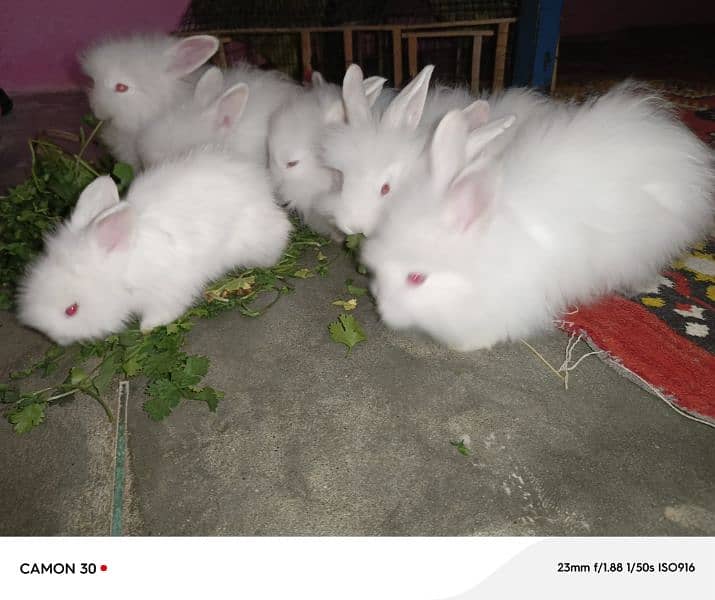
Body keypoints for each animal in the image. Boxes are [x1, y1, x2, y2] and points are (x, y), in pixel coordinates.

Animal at [18, 148, 294, 344]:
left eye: (71, 310)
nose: (53, 337)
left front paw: (148, 327)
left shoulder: (166, 289)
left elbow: (163, 310)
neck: (124, 268)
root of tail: (261, 185)